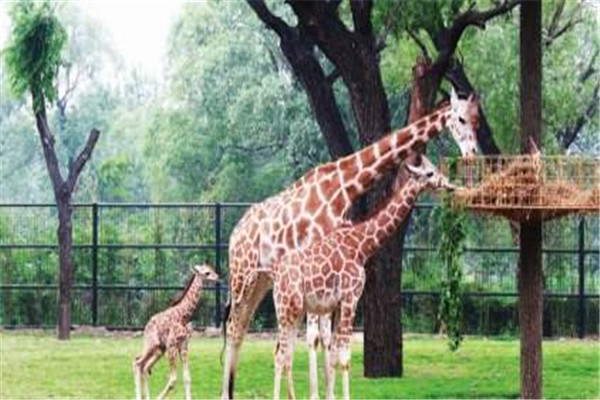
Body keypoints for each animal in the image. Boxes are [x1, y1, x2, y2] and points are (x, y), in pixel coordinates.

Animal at [270, 154, 452, 400]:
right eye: (429, 173)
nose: (449, 184)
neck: (362, 246)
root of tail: (276, 277)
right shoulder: (351, 298)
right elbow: (344, 357)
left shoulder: (338, 304)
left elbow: (335, 355)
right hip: (286, 309)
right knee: (281, 354)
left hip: (295, 311)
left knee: (284, 352)